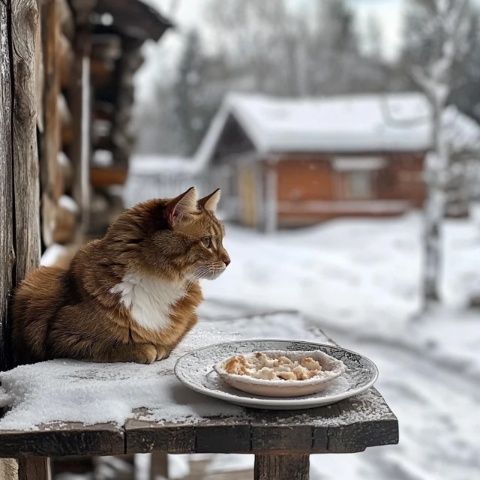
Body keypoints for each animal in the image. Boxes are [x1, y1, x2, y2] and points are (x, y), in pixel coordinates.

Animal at [11, 188, 229, 364]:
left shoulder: (188, 323)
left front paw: (159, 347)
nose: (229, 261)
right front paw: (144, 349)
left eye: (221, 240)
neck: (159, 283)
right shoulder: (60, 335)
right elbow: (110, 345)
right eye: (207, 241)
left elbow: (170, 341)